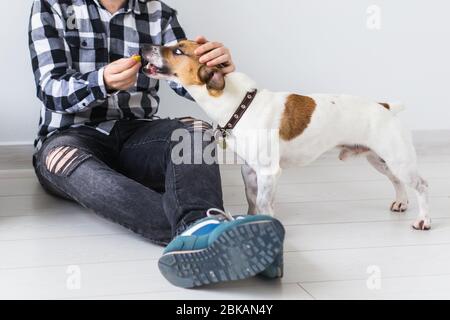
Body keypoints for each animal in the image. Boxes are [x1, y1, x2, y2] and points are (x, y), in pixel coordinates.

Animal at [142, 40, 430, 230]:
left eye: (178, 50)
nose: (144, 46)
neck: (240, 104)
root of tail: (385, 106)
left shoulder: (269, 172)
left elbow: (264, 201)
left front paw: (267, 220)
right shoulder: (249, 169)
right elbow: (252, 199)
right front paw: (250, 219)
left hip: (398, 159)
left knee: (422, 186)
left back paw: (423, 219)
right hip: (380, 160)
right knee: (396, 180)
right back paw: (401, 203)